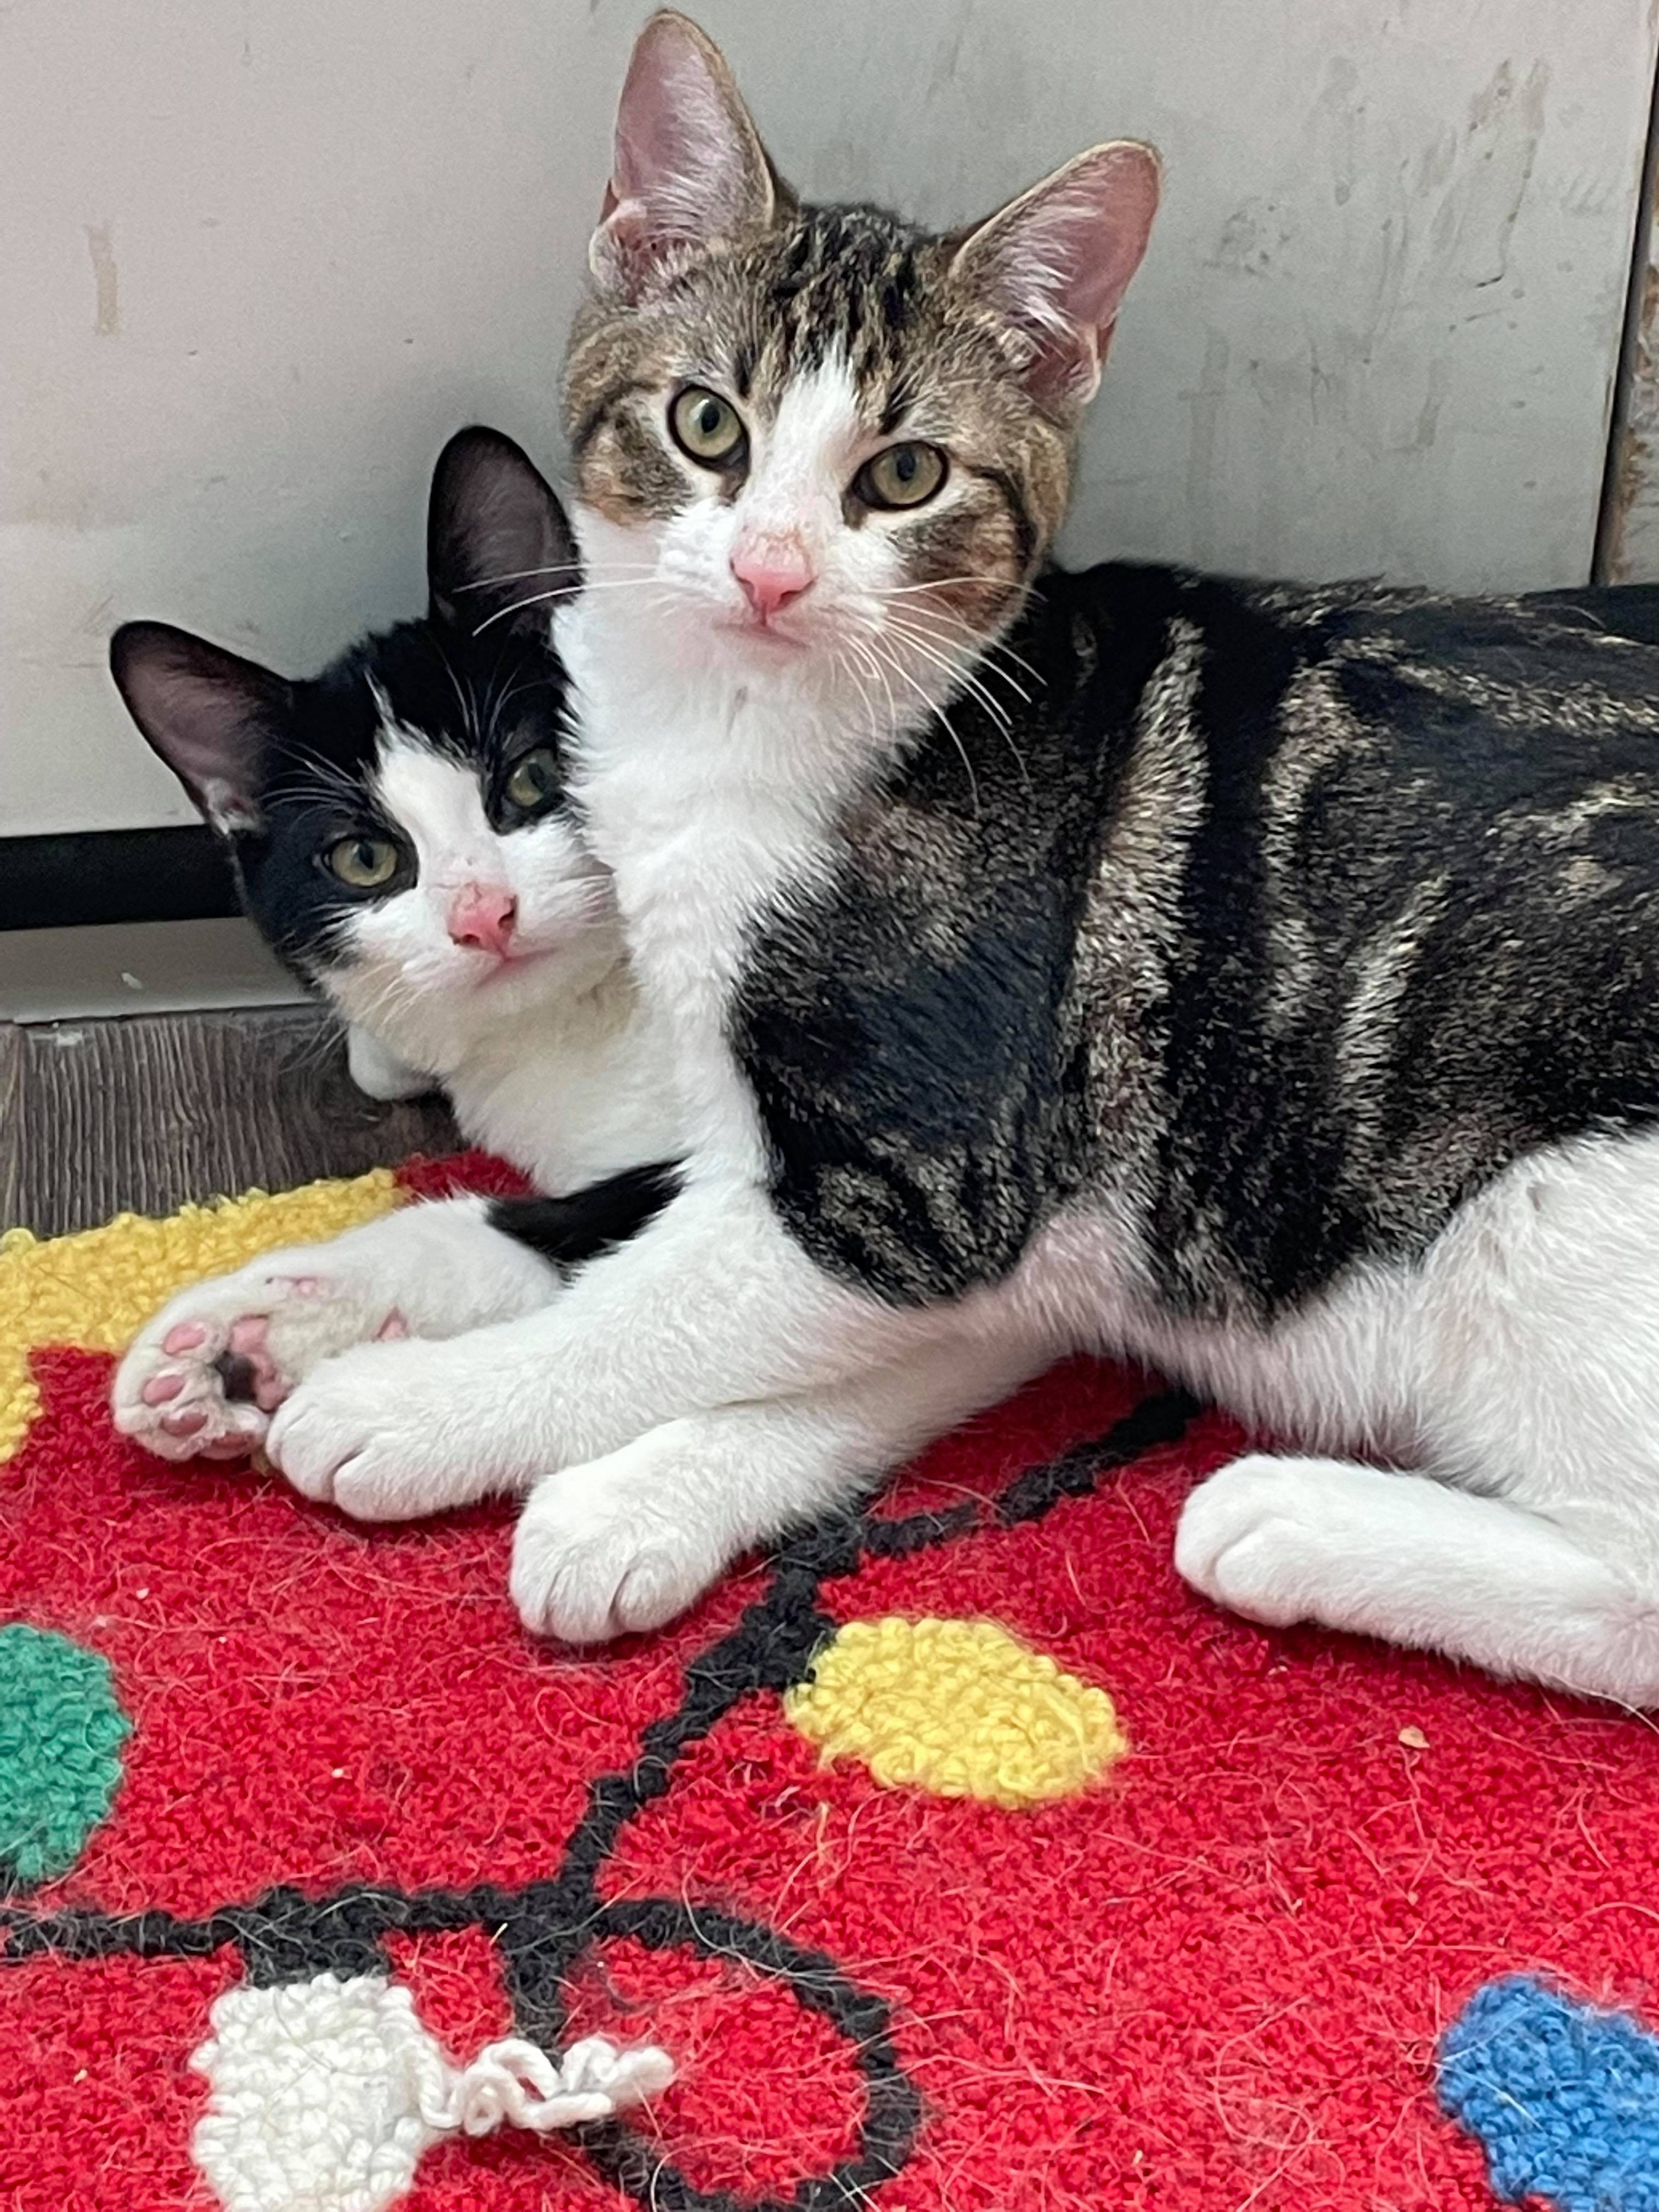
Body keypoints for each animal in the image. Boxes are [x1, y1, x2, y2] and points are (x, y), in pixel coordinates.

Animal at [123, 13, 1659, 1707]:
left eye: (905, 476)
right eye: (706, 425)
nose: (773, 570)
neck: (744, 743)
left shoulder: (938, 1186)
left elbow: (651, 1305)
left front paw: (430, 1416)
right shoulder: (932, 1217)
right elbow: (597, 1251)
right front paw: (263, 1325)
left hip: (1550, 1196)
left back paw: (1285, 1519)